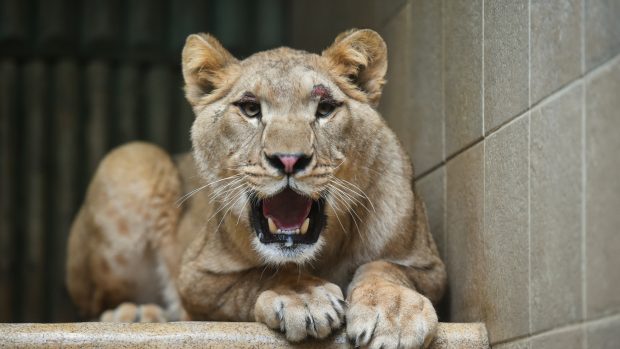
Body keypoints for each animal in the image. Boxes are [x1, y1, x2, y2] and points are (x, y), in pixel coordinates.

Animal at [66, 28, 446, 346]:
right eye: (250, 108)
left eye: (325, 108)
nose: (289, 160)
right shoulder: (196, 277)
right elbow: (262, 275)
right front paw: (301, 296)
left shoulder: (429, 267)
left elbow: (387, 268)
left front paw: (394, 312)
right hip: (130, 157)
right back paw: (136, 314)